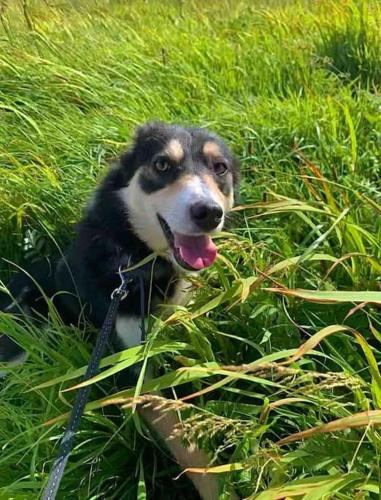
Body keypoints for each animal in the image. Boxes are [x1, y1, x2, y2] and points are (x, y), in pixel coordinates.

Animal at [0, 122, 238, 500]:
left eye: (220, 168)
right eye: (161, 164)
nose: (208, 213)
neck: (136, 259)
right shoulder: (130, 364)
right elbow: (184, 442)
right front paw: (219, 488)